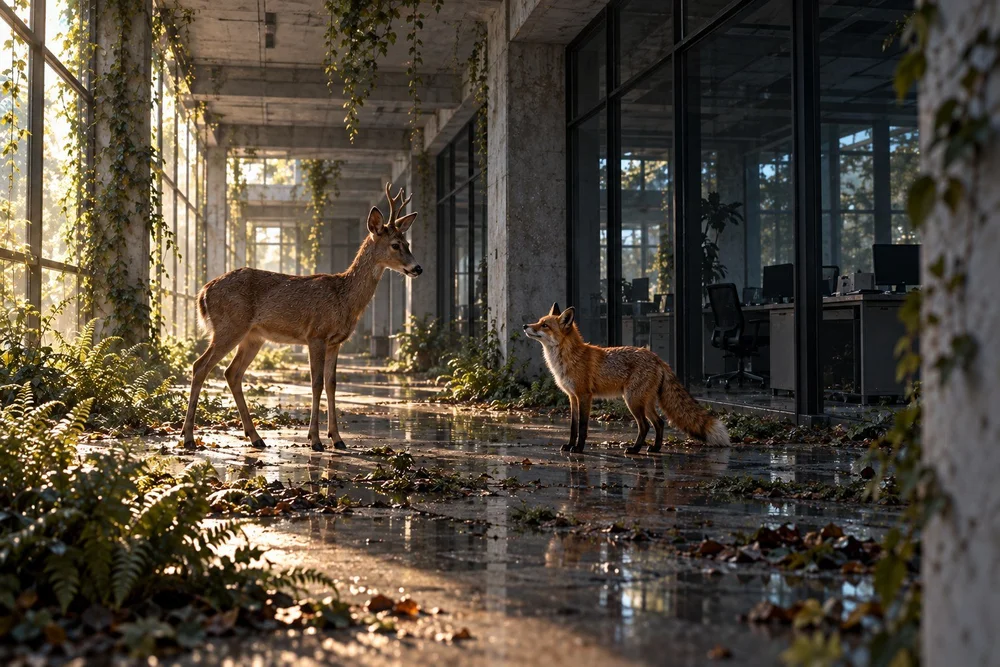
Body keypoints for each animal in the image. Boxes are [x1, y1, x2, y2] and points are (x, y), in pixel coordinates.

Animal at [523, 303, 730, 454]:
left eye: (544, 325)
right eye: (539, 321)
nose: (525, 325)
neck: (569, 358)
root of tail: (657, 358)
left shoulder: (584, 396)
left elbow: (582, 426)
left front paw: (579, 448)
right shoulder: (572, 397)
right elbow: (573, 427)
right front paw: (569, 445)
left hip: (632, 401)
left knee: (645, 426)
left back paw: (635, 449)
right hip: (644, 402)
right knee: (659, 423)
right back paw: (655, 448)